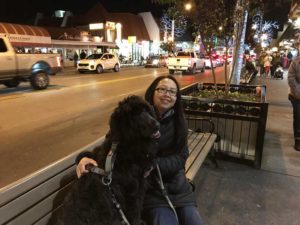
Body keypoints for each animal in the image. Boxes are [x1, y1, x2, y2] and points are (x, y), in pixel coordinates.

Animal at [55, 96, 161, 225]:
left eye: (146, 109)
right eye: (134, 116)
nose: (156, 125)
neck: (128, 145)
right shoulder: (132, 191)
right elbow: (135, 212)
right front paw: (138, 222)